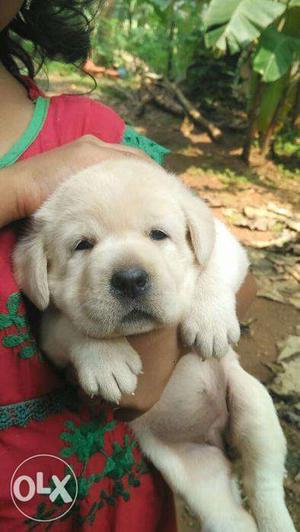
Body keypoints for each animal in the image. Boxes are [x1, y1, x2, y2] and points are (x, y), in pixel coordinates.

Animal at [14, 159, 296, 532]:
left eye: (158, 234)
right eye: (82, 245)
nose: (130, 279)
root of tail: (215, 434)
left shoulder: (224, 241)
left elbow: (212, 264)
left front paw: (209, 320)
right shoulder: (47, 324)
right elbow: (72, 326)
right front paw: (107, 362)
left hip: (253, 407)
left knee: (263, 481)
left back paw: (276, 518)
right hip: (194, 470)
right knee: (231, 516)